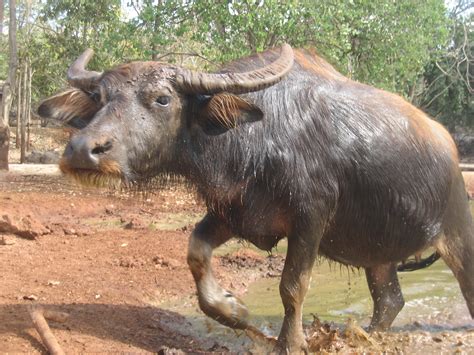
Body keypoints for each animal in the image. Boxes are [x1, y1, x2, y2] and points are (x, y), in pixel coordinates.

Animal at [39, 45, 472, 354]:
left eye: (162, 99)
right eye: (99, 97)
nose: (82, 149)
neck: (255, 139)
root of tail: (451, 150)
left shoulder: (310, 219)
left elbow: (292, 285)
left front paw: (289, 343)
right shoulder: (232, 212)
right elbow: (196, 253)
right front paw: (234, 310)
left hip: (458, 236)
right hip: (378, 255)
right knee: (389, 301)